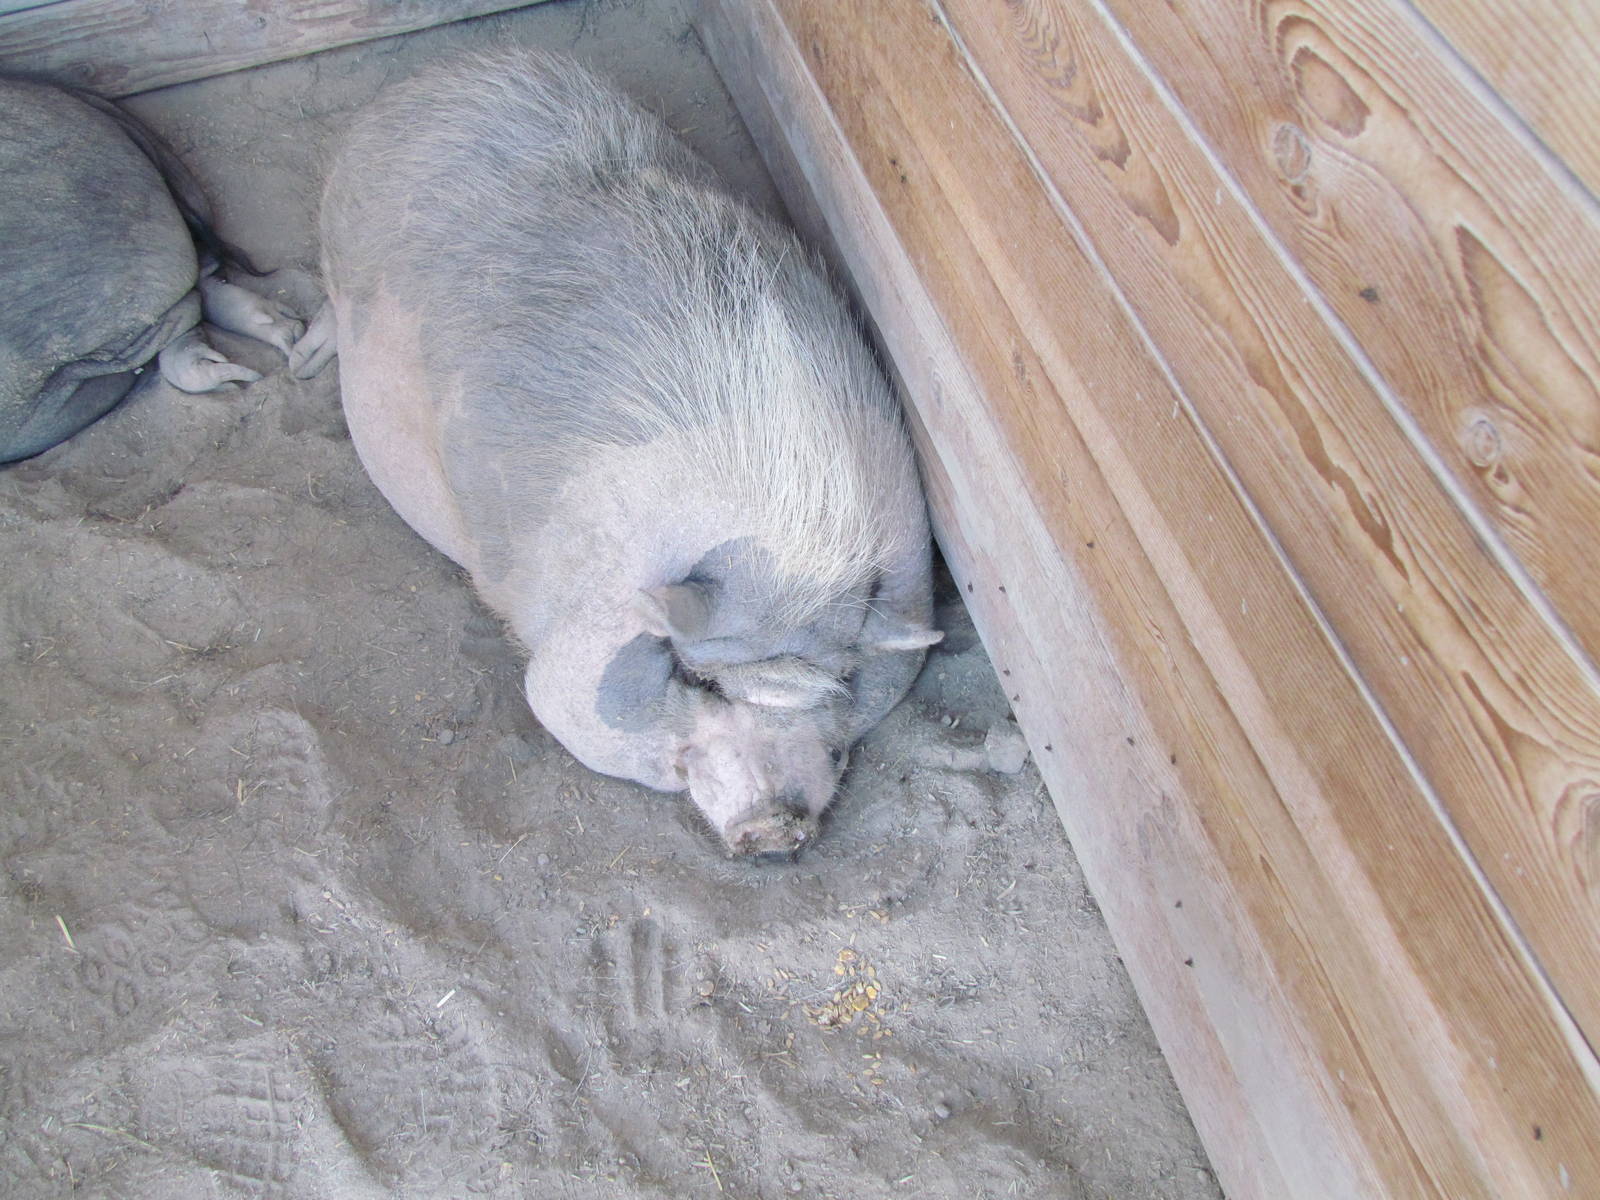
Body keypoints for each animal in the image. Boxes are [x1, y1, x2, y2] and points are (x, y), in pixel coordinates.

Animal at [292, 49, 940, 858]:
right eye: (700, 683)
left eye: (845, 684)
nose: (776, 827)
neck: (795, 539)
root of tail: (447, 69)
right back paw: (300, 363)